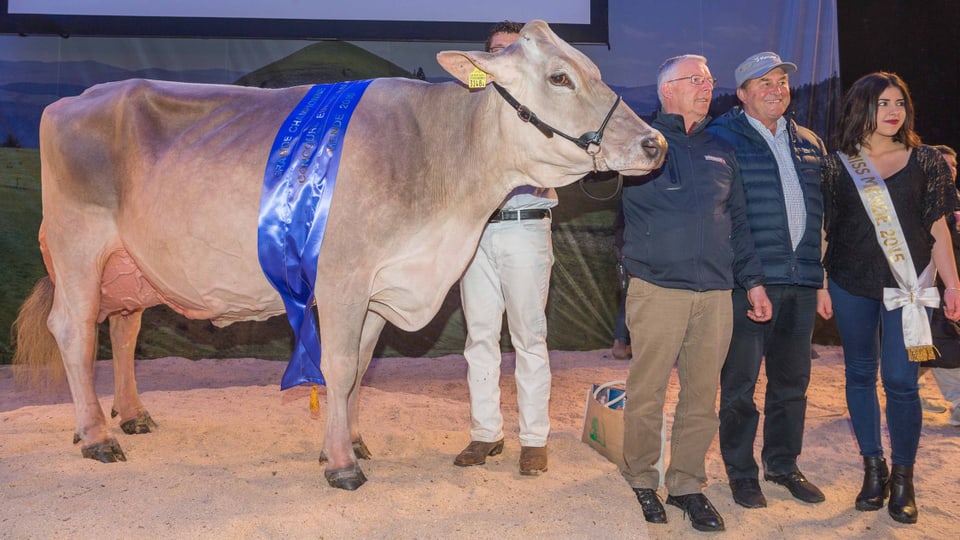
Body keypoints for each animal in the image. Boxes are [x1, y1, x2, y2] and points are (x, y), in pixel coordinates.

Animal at [11, 20, 664, 490]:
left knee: (123, 330)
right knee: (74, 330)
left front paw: (347, 441)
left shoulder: (379, 285)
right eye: (559, 78)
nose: (653, 143)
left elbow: (360, 370)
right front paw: (343, 464)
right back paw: (97, 435)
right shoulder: (343, 278)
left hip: (130, 266)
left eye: (592, 70)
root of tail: (70, 101)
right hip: (77, 245)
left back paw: (131, 415)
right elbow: (341, 366)